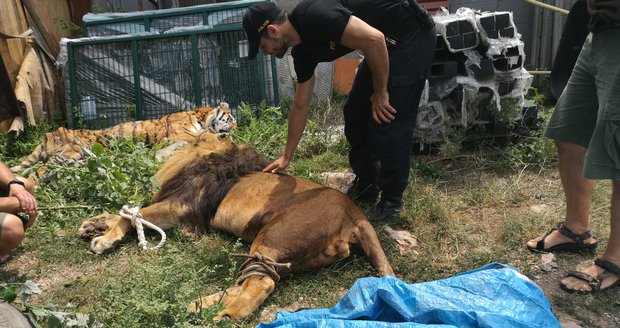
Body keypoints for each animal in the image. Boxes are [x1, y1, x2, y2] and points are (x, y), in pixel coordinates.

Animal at [10, 102, 236, 174]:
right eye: (231, 119)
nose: (236, 128)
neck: (200, 116)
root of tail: (49, 134)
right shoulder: (179, 133)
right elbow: (200, 134)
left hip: (79, 159)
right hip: (70, 153)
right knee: (41, 170)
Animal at [77, 131, 394, 320]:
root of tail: (355, 214)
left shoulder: (182, 206)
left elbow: (132, 215)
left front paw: (103, 238)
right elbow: (129, 212)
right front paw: (93, 224)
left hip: (274, 237)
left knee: (261, 283)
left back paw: (223, 316)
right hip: (290, 256)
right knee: (248, 279)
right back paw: (198, 305)